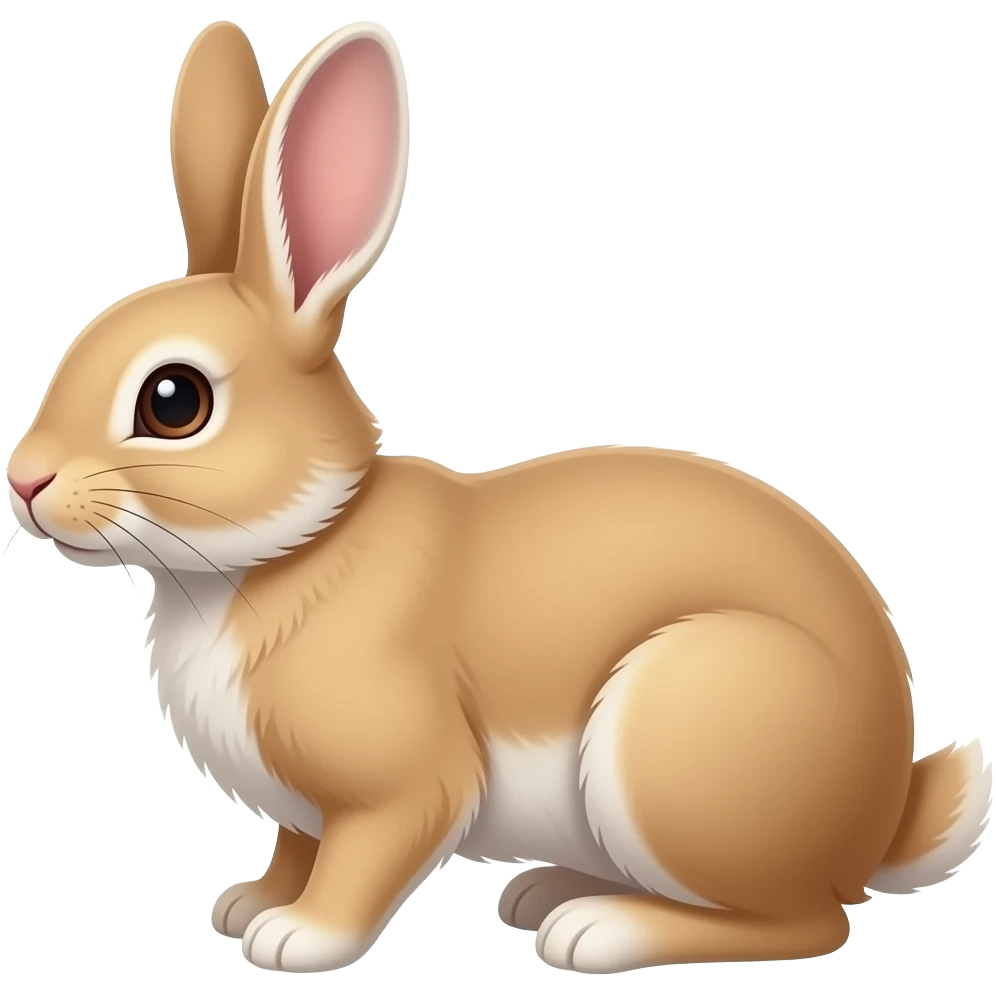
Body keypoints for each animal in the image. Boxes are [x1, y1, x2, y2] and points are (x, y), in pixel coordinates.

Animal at [5, 18, 992, 976]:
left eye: (174, 402)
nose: (24, 480)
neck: (296, 544)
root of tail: (879, 817)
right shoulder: (302, 809)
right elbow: (297, 847)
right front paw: (249, 904)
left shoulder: (404, 784)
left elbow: (363, 859)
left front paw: (298, 938)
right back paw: (547, 891)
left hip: (679, 735)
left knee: (807, 923)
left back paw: (596, 931)